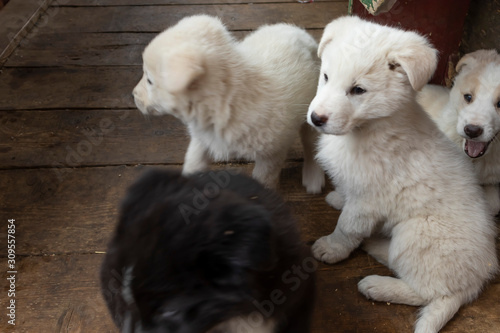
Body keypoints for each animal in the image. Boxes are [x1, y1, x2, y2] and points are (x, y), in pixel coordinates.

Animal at [133, 14, 324, 192]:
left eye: (149, 80)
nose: (133, 94)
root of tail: (298, 31)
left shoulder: (272, 152)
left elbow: (264, 179)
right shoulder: (203, 138)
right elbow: (193, 161)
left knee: (311, 144)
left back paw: (313, 176)